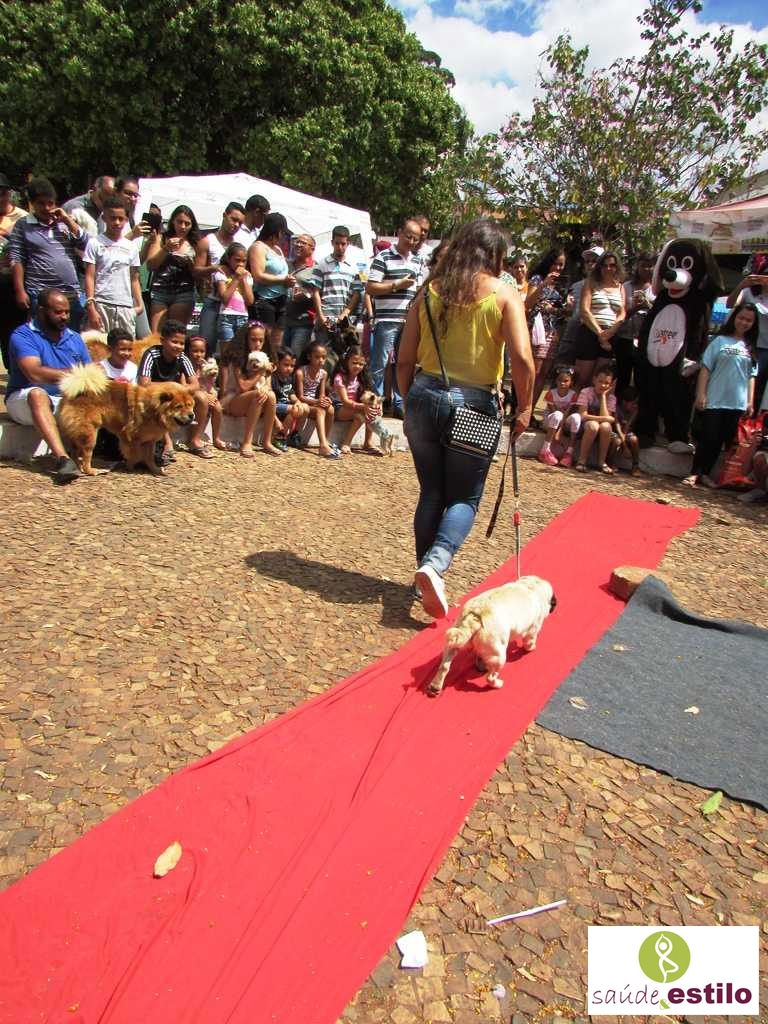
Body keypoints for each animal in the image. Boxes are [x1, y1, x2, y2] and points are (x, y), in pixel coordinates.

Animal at [58, 363, 195, 476]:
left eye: (190, 405)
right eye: (179, 406)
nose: (192, 415)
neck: (153, 410)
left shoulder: (149, 441)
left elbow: (149, 458)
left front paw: (155, 470)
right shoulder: (128, 435)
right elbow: (136, 454)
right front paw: (130, 465)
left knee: (75, 452)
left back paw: (78, 467)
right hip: (90, 435)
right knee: (86, 455)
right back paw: (92, 471)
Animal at [427, 576, 556, 697]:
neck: (531, 586)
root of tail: (475, 616)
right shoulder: (533, 629)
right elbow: (529, 641)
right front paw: (531, 648)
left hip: (453, 644)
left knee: (444, 666)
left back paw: (436, 686)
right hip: (498, 656)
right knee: (490, 677)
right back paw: (497, 684)